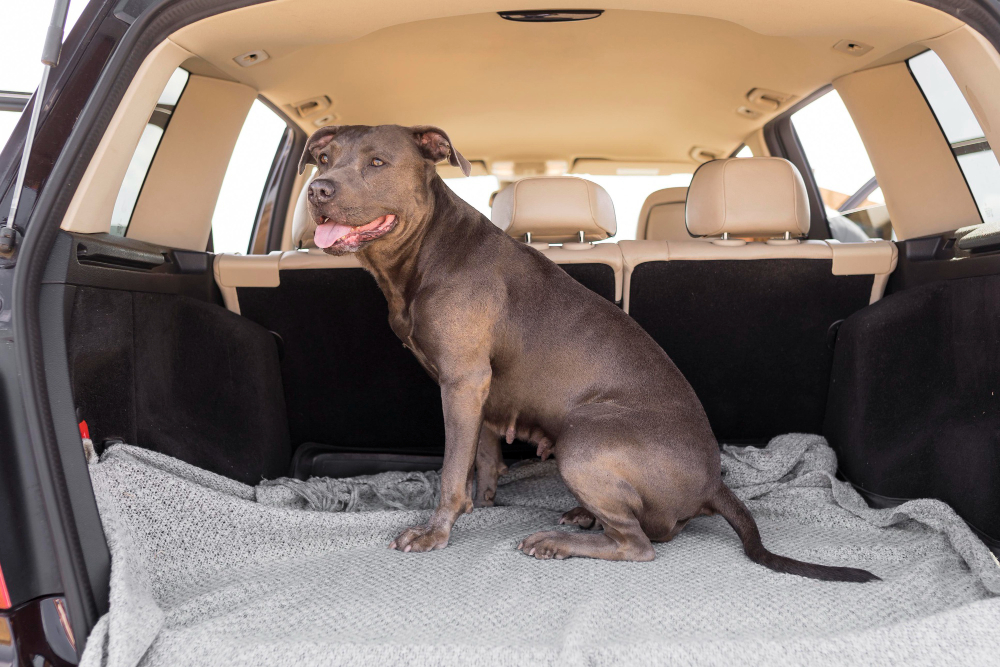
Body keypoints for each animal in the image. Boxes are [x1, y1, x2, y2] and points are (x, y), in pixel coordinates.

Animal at [296, 125, 876, 584]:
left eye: (377, 162)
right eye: (324, 158)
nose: (317, 189)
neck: (424, 251)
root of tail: (715, 482)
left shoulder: (461, 382)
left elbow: (450, 470)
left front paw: (436, 532)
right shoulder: (478, 391)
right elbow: (481, 458)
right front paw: (485, 501)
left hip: (583, 442)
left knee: (639, 544)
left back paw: (558, 541)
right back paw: (580, 516)